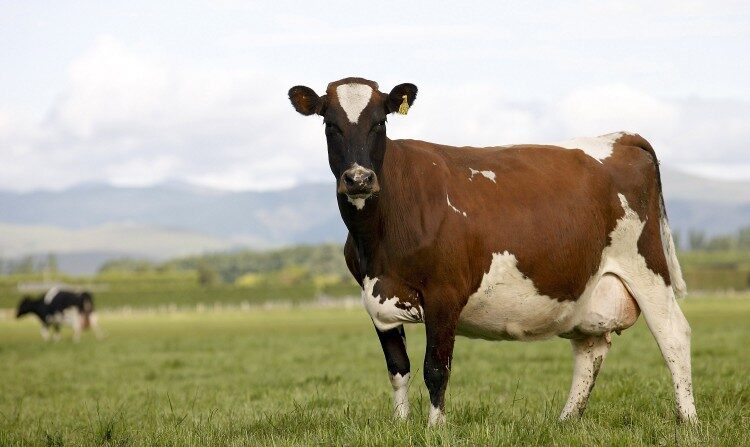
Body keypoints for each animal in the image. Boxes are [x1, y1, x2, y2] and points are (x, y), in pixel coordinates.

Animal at [290, 78, 700, 428]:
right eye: (330, 124)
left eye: (380, 122)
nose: (359, 178)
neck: (379, 237)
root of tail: (621, 136)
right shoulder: (376, 296)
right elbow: (398, 368)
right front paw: (401, 425)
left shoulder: (444, 295)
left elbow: (436, 368)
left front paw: (435, 428)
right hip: (586, 287)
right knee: (591, 348)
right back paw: (566, 420)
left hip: (647, 268)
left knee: (673, 334)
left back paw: (688, 421)